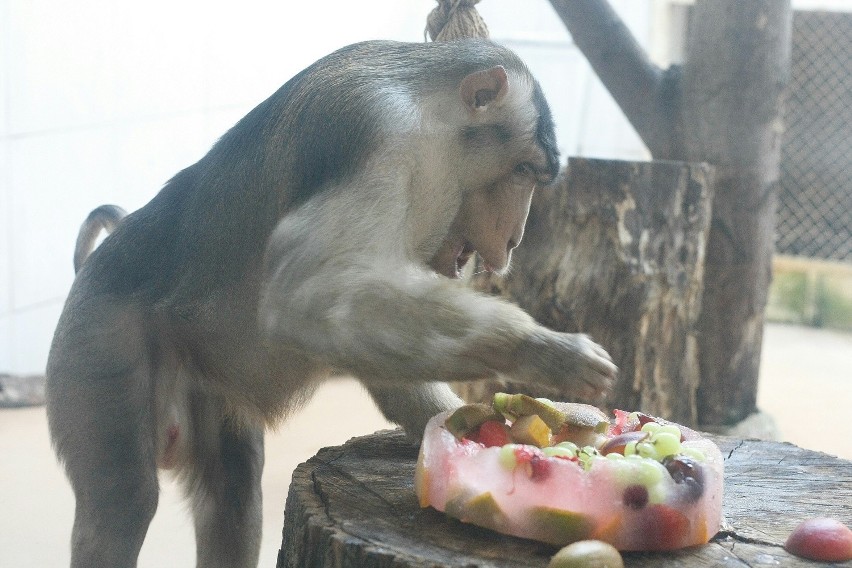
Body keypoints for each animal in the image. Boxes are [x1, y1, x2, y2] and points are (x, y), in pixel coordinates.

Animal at [46, 41, 616, 568]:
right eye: (522, 171)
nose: (515, 239)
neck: (429, 117)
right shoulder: (385, 133)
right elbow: (308, 298)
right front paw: (541, 350)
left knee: (233, 492)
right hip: (96, 340)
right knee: (124, 496)